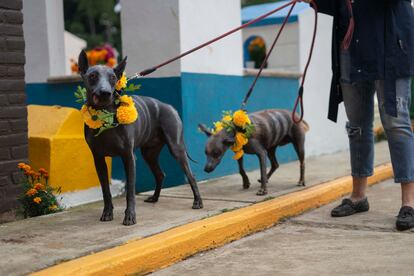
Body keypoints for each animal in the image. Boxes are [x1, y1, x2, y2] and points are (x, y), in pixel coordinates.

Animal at [77, 50, 202, 225]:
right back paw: (155, 198)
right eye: (93, 75)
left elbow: (130, 190)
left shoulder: (128, 157)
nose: (105, 93)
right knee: (160, 174)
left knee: (191, 175)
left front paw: (130, 216)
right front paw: (107, 212)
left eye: (113, 77)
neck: (105, 116)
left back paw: (197, 201)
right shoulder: (98, 159)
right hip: (149, 153)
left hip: (176, 148)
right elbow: (105, 190)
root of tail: (170, 107)